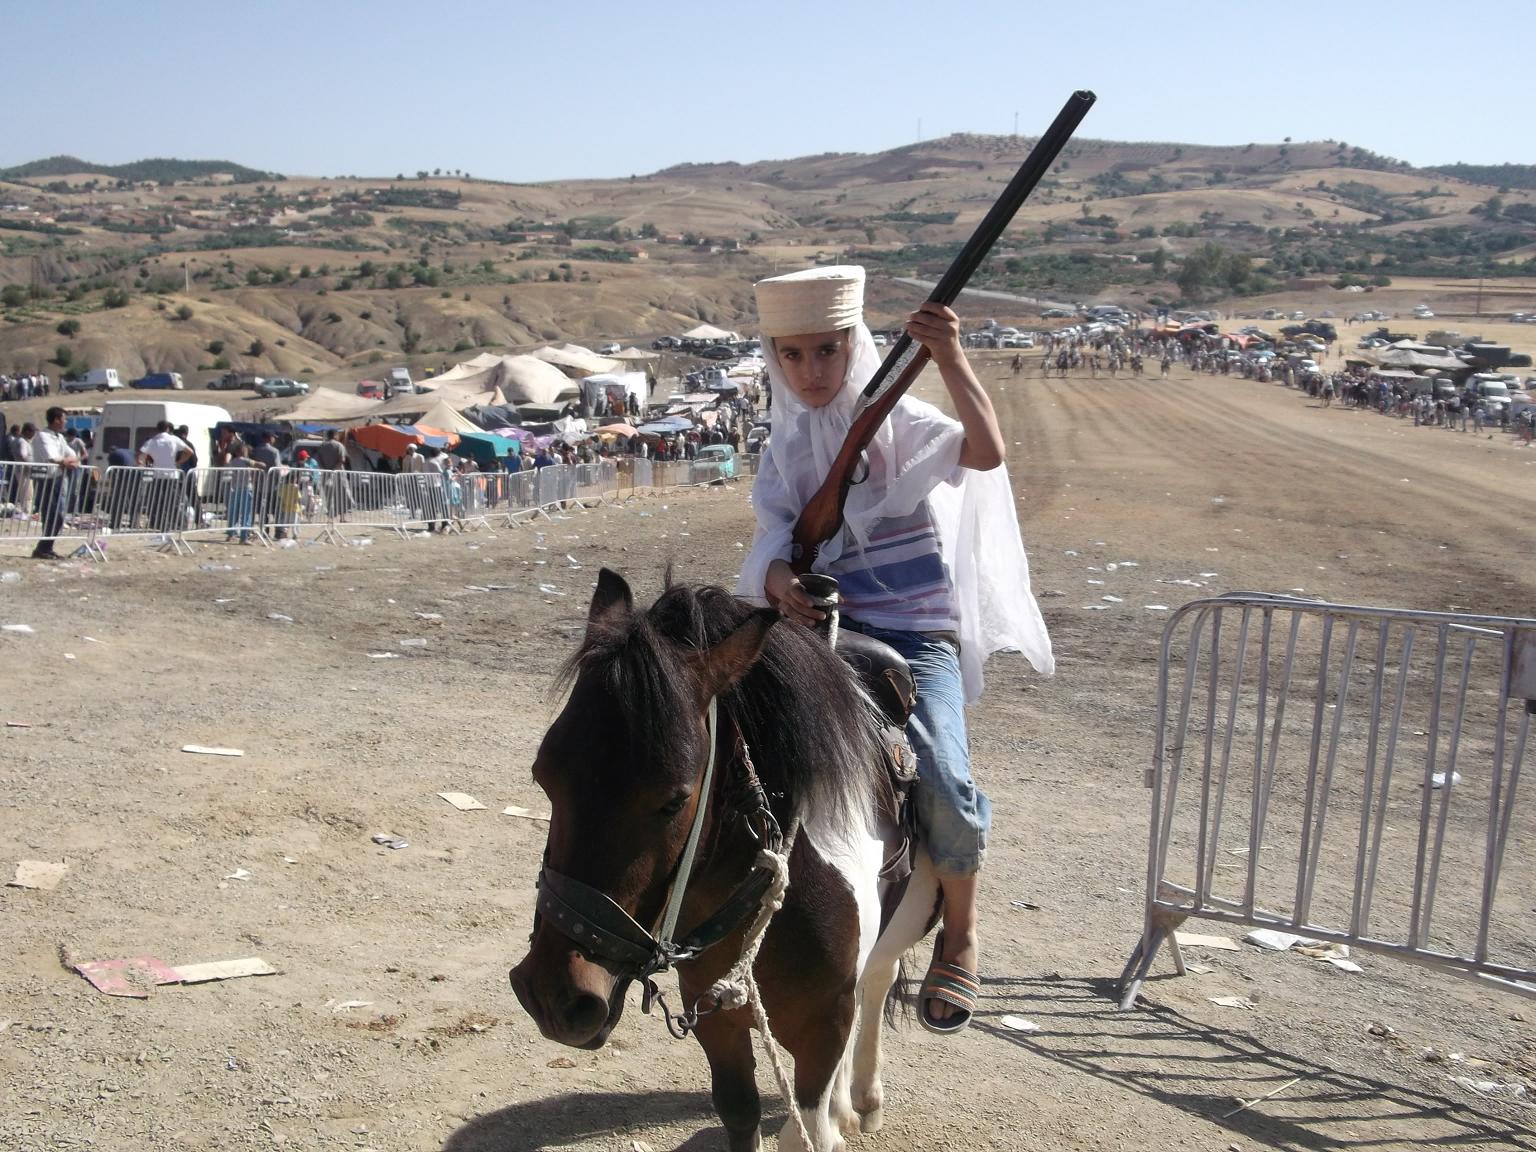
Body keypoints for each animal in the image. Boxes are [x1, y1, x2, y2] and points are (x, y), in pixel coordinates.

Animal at [513, 574, 933, 1152]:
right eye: (543, 776)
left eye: (674, 800)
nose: (554, 997)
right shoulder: (716, 1019)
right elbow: (740, 1111)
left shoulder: (823, 1026)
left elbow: (804, 1128)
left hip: (906, 916)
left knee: (877, 980)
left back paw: (863, 1100)